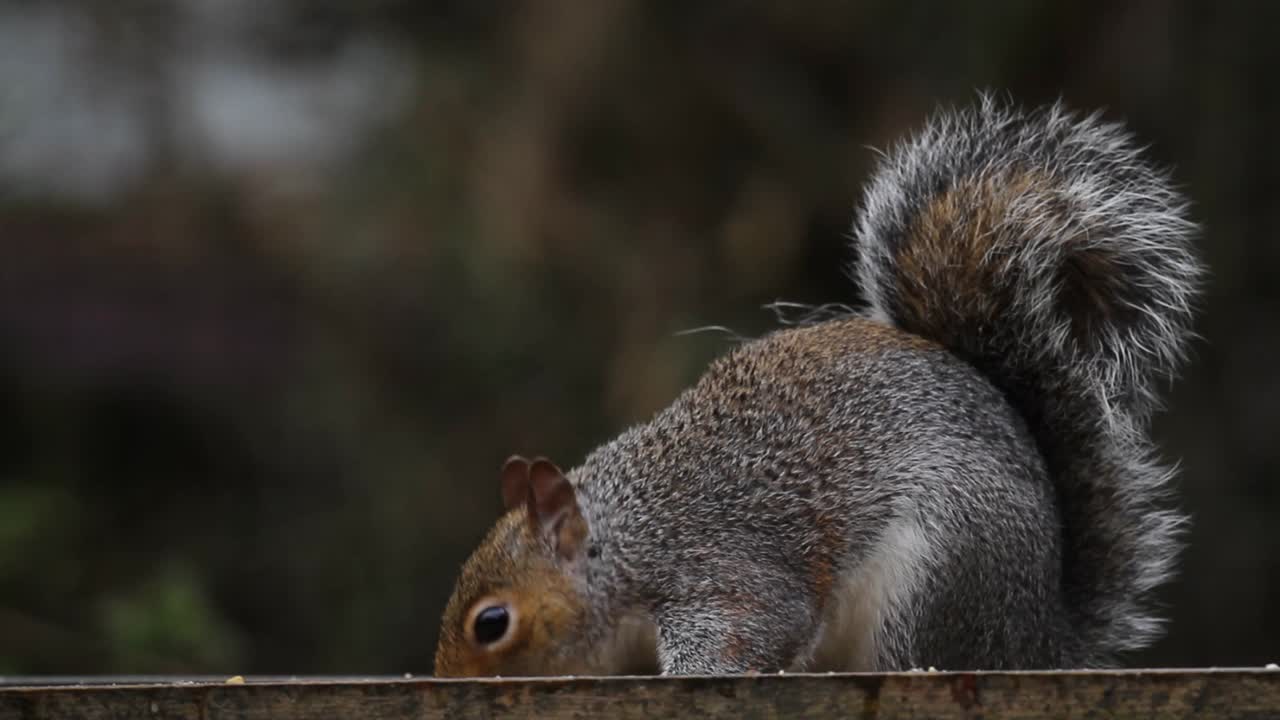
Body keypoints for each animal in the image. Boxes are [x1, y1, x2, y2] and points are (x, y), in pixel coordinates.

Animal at [433, 96, 1204, 676]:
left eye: (492, 623)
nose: (447, 684)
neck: (623, 541)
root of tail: (1038, 641)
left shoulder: (719, 567)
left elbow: (753, 630)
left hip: (932, 578)